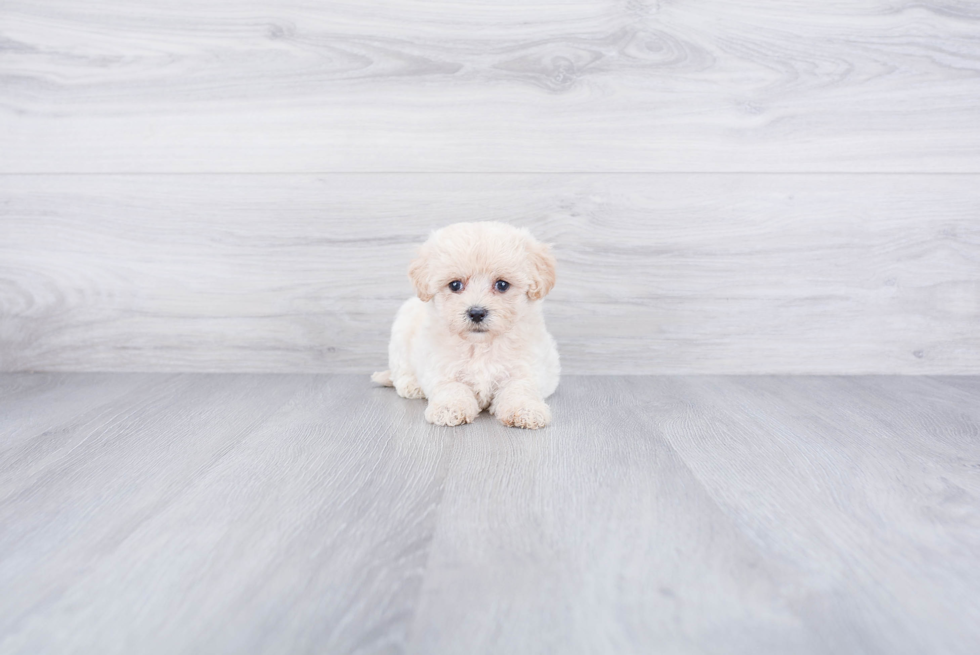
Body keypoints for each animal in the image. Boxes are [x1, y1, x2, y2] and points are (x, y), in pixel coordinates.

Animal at [372, 223, 564, 430]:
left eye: (502, 284)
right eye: (455, 285)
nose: (477, 313)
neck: (479, 345)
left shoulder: (524, 369)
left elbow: (520, 388)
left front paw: (526, 409)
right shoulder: (442, 368)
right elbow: (452, 387)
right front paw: (449, 408)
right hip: (402, 330)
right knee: (401, 369)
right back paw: (412, 385)